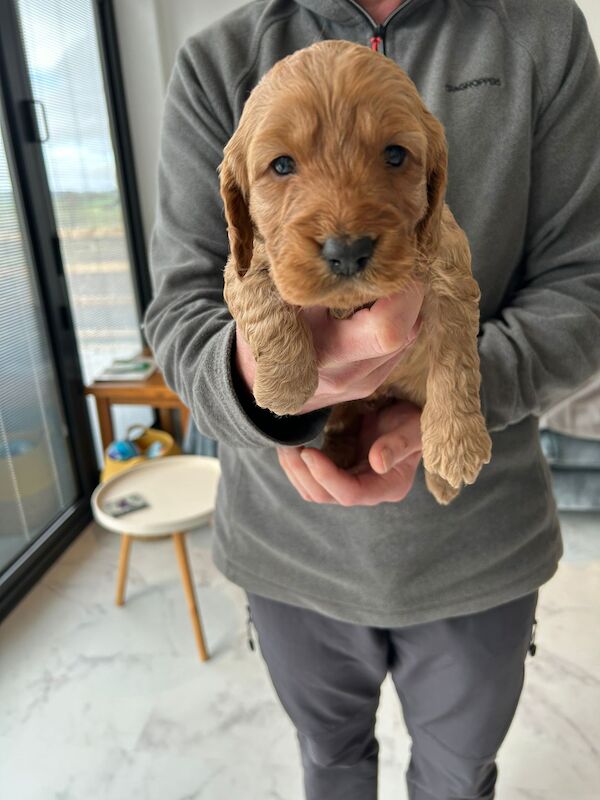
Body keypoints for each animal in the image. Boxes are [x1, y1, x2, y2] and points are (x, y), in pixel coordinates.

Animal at [220, 40, 492, 504]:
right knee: (342, 418)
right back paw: (339, 450)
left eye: (395, 155)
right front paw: (285, 384)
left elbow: (455, 363)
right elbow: (261, 297)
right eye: (281, 165)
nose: (347, 251)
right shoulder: (245, 257)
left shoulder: (450, 271)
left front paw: (456, 446)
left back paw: (442, 481)